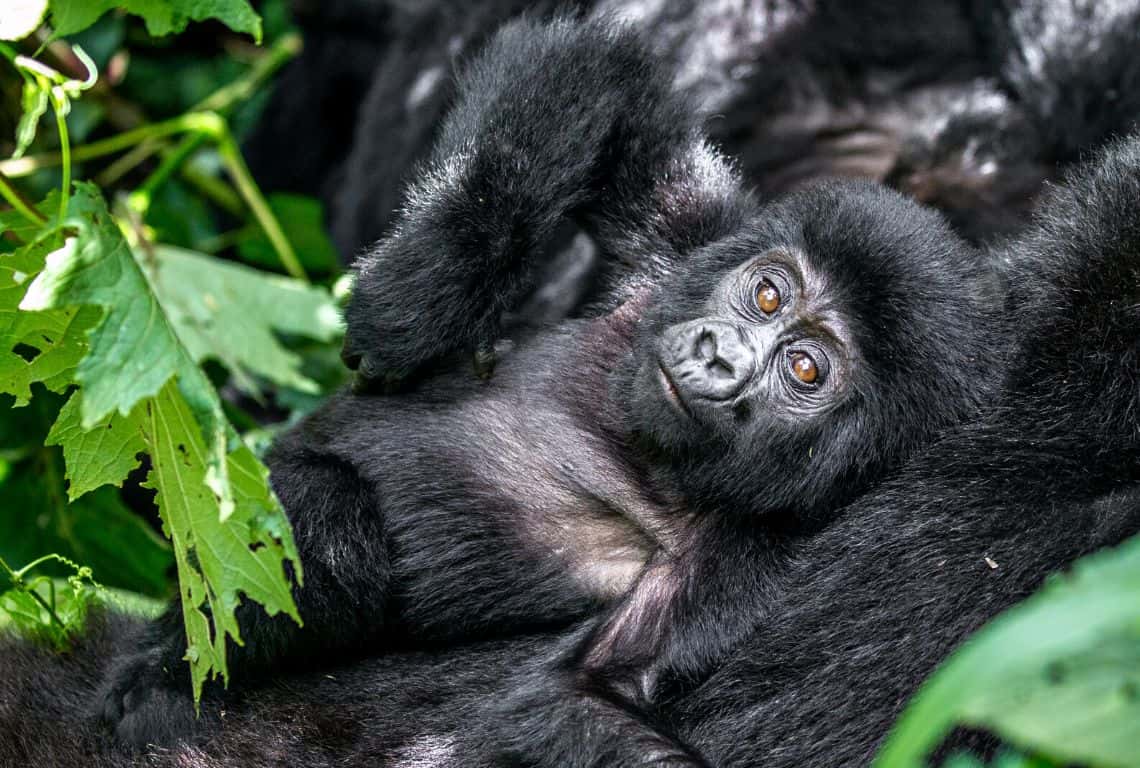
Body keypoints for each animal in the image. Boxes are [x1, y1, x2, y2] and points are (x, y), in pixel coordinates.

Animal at [102, 14, 1003, 752]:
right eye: (769, 293)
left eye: (805, 369)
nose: (719, 356)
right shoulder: (695, 241)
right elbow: (600, 78)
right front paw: (421, 296)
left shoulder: (750, 555)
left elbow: (591, 694)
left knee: (326, 525)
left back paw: (161, 673)